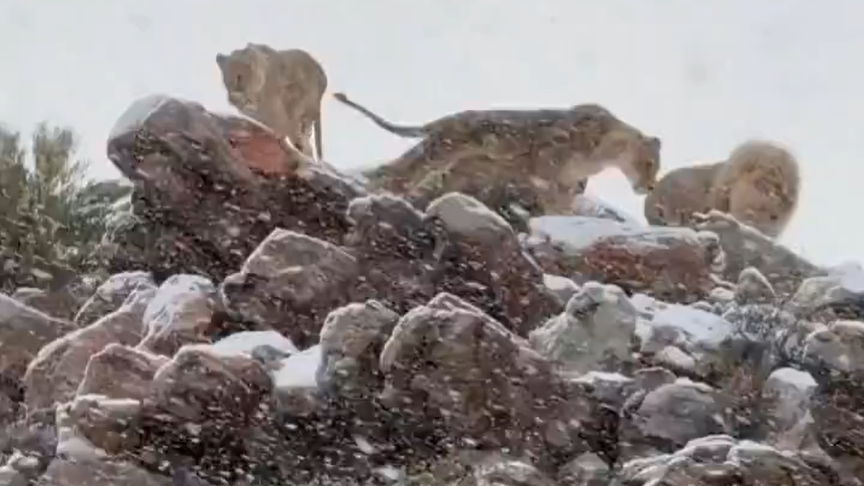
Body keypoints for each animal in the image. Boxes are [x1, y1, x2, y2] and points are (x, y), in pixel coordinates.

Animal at [334, 92, 660, 226]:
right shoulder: (548, 165)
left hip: (457, 168)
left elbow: (562, 207)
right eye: (649, 163)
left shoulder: (568, 184)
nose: (650, 186)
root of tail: (440, 122)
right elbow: (550, 195)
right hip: (436, 154)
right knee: (392, 172)